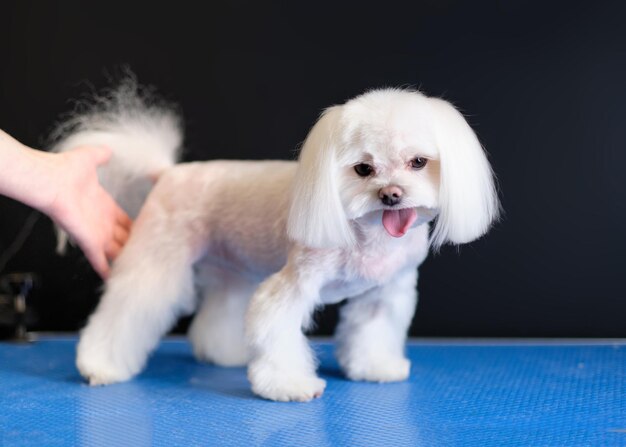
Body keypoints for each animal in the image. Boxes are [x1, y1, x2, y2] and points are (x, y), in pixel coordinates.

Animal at [54, 80, 502, 402]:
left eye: (418, 162)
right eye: (363, 168)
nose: (391, 194)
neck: (370, 234)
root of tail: (169, 172)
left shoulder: (384, 292)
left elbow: (372, 331)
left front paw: (376, 367)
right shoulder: (293, 285)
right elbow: (278, 331)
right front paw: (290, 386)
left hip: (232, 267)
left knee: (221, 310)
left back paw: (223, 352)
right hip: (156, 261)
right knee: (128, 309)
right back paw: (100, 365)